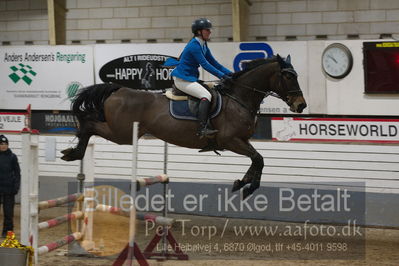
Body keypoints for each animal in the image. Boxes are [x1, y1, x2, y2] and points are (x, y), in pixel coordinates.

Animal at [61, 55, 308, 198]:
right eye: (288, 76)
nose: (301, 105)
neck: (239, 98)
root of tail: (118, 89)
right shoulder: (230, 141)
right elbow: (259, 159)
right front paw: (248, 187)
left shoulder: (243, 141)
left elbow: (258, 159)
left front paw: (243, 182)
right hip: (121, 132)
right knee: (89, 124)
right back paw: (73, 152)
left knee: (89, 124)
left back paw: (72, 152)